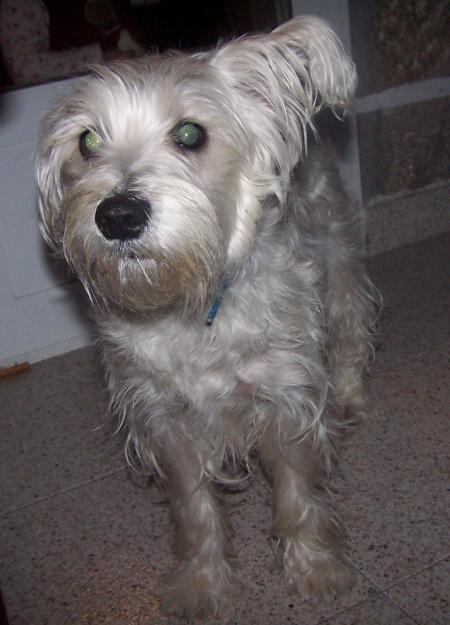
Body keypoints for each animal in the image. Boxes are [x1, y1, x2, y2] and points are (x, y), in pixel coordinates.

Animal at [37, 15, 378, 620]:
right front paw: (202, 583)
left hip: (336, 256)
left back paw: (351, 394)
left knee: (349, 326)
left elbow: (297, 491)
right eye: (88, 140)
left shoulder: (283, 395)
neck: (190, 304)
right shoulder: (165, 418)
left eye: (191, 134)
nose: (118, 215)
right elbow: (194, 509)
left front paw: (314, 569)